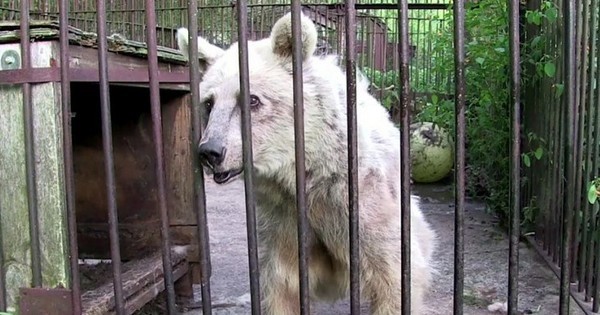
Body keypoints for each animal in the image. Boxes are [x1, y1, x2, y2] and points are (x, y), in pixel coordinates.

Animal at [175, 11, 436, 314]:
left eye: (252, 99)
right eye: (209, 102)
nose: (211, 151)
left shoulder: (362, 203)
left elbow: (393, 276)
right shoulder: (282, 220)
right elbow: (280, 286)